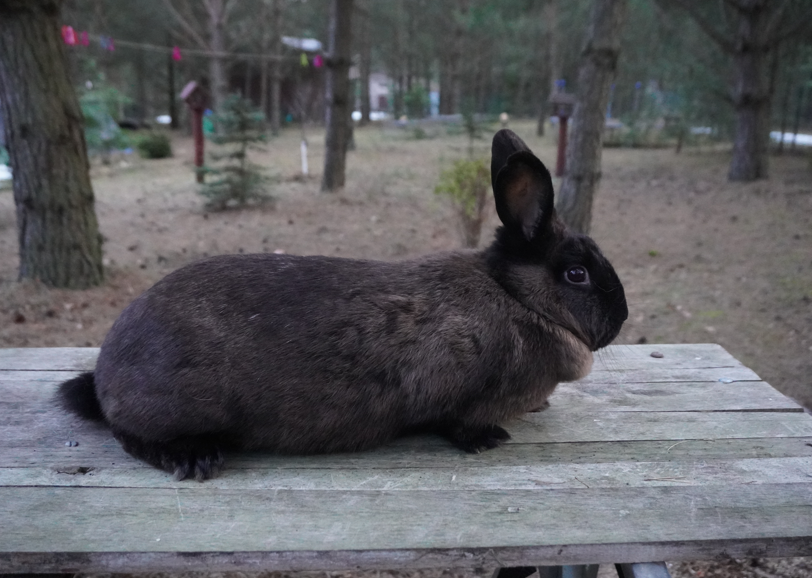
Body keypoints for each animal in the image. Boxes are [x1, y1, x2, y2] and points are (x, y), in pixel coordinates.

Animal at [57, 129, 628, 481]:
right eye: (576, 274)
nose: (622, 317)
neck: (516, 297)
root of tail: (105, 372)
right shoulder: (459, 392)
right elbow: (458, 423)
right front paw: (490, 439)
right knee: (129, 434)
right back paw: (196, 459)